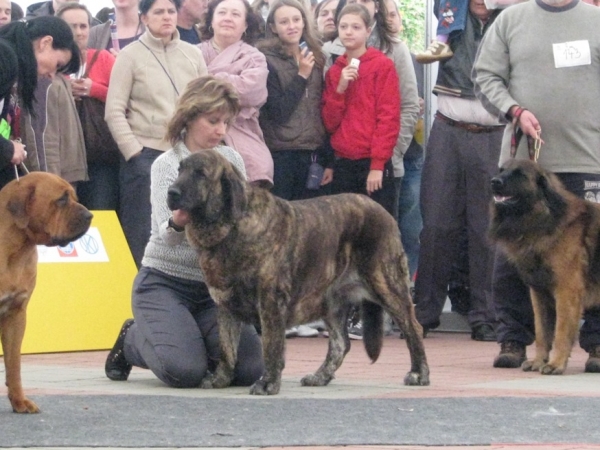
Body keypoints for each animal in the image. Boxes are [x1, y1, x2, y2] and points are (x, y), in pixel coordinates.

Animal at [0, 172, 92, 412]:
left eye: (74, 196)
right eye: (62, 199)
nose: (90, 215)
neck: (15, 249)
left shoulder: (16, 315)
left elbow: (14, 365)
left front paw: (20, 401)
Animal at [166, 150, 428, 394]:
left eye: (200, 174)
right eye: (180, 170)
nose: (171, 192)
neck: (231, 227)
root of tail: (384, 213)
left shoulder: (270, 302)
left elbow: (271, 346)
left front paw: (268, 383)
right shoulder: (225, 304)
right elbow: (226, 348)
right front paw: (221, 379)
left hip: (387, 285)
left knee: (413, 327)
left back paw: (419, 374)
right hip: (332, 301)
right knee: (340, 343)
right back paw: (320, 376)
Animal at [490, 160, 600, 374]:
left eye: (519, 174)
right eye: (501, 170)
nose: (494, 181)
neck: (546, 218)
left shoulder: (566, 292)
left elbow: (561, 332)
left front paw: (555, 364)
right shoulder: (539, 293)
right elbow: (542, 333)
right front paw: (539, 361)